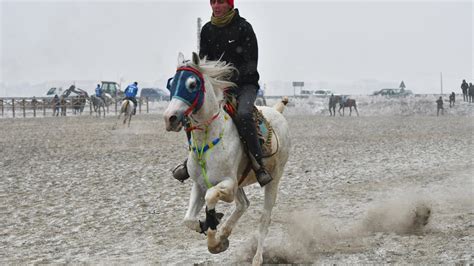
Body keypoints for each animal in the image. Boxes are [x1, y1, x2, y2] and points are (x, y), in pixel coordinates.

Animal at [163, 52, 290, 266]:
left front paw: (213, 234)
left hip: (273, 180)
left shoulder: (228, 185)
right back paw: (224, 234)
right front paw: (212, 233)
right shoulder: (199, 184)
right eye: (171, 84)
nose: (169, 118)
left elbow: (211, 196)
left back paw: (257, 258)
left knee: (264, 219)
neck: (207, 141)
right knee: (243, 204)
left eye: (192, 84)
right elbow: (188, 220)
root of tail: (276, 111)